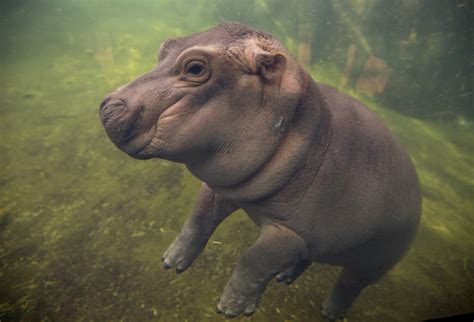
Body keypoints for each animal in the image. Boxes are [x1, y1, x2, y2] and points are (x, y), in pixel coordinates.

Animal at [99, 22, 418, 320]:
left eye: (195, 68)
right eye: (165, 46)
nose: (107, 106)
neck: (307, 128)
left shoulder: (292, 232)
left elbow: (254, 259)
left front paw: (231, 309)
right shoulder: (224, 188)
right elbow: (197, 221)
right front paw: (170, 262)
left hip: (375, 261)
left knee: (350, 284)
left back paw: (330, 313)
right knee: (307, 259)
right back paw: (284, 278)